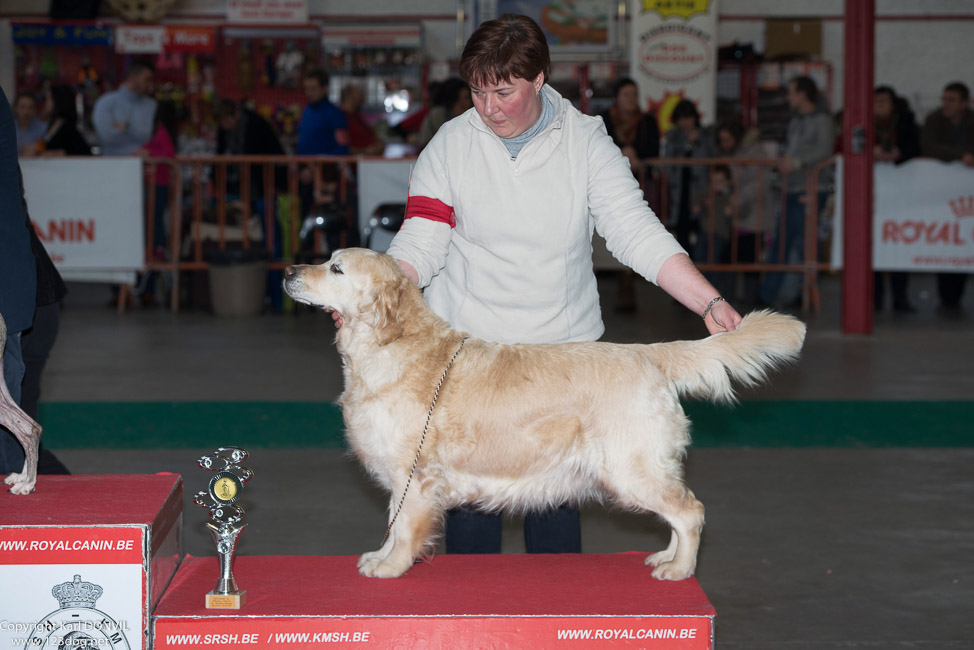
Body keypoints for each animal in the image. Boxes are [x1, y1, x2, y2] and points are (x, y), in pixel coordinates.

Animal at [284, 247, 808, 576]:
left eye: (335, 268)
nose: (288, 271)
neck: (389, 345)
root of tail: (648, 354)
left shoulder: (415, 473)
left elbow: (405, 527)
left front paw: (390, 568)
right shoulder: (402, 476)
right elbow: (392, 526)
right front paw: (381, 556)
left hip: (630, 468)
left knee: (690, 511)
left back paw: (679, 570)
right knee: (681, 512)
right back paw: (666, 558)